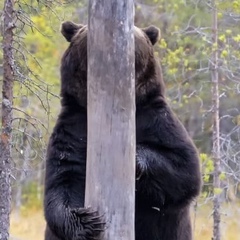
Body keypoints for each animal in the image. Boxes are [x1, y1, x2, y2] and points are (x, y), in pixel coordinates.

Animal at [44, 21, 202, 240]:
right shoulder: (74, 128)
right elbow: (63, 178)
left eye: (135, 33)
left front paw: (135, 158)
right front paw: (88, 221)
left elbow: (184, 167)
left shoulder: (156, 120)